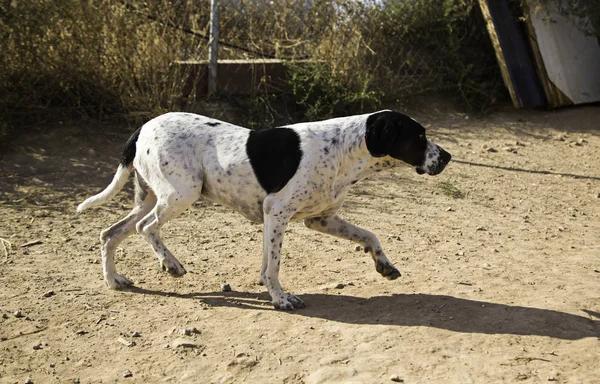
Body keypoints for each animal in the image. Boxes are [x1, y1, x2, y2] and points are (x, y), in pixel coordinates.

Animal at [77, 110, 450, 308]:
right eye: (419, 137)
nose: (447, 157)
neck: (343, 149)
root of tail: (143, 126)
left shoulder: (321, 219)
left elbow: (370, 235)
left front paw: (385, 266)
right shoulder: (278, 212)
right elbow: (273, 266)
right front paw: (281, 299)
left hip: (152, 198)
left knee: (109, 233)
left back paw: (113, 280)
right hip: (182, 194)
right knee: (146, 228)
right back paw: (170, 264)